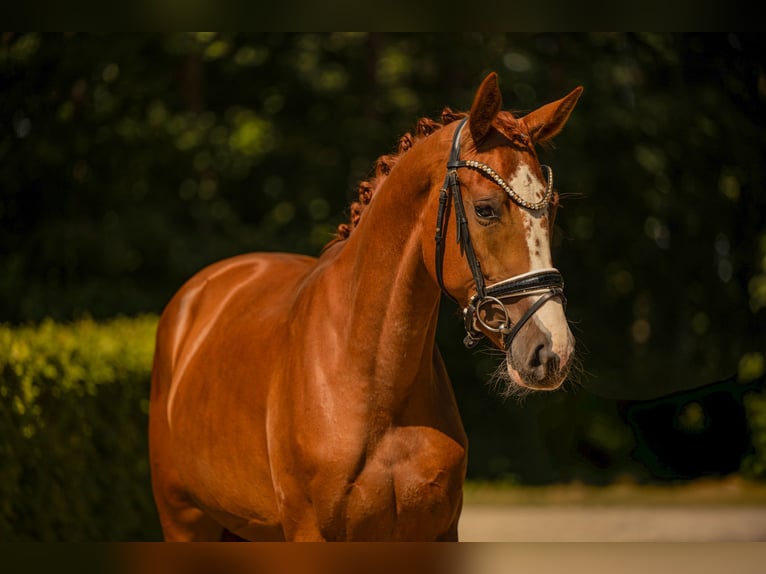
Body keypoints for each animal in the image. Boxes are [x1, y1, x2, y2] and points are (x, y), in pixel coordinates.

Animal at [148, 72, 583, 541]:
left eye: (552, 207)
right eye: (485, 209)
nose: (552, 351)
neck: (373, 383)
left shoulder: (439, 531)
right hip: (184, 521)